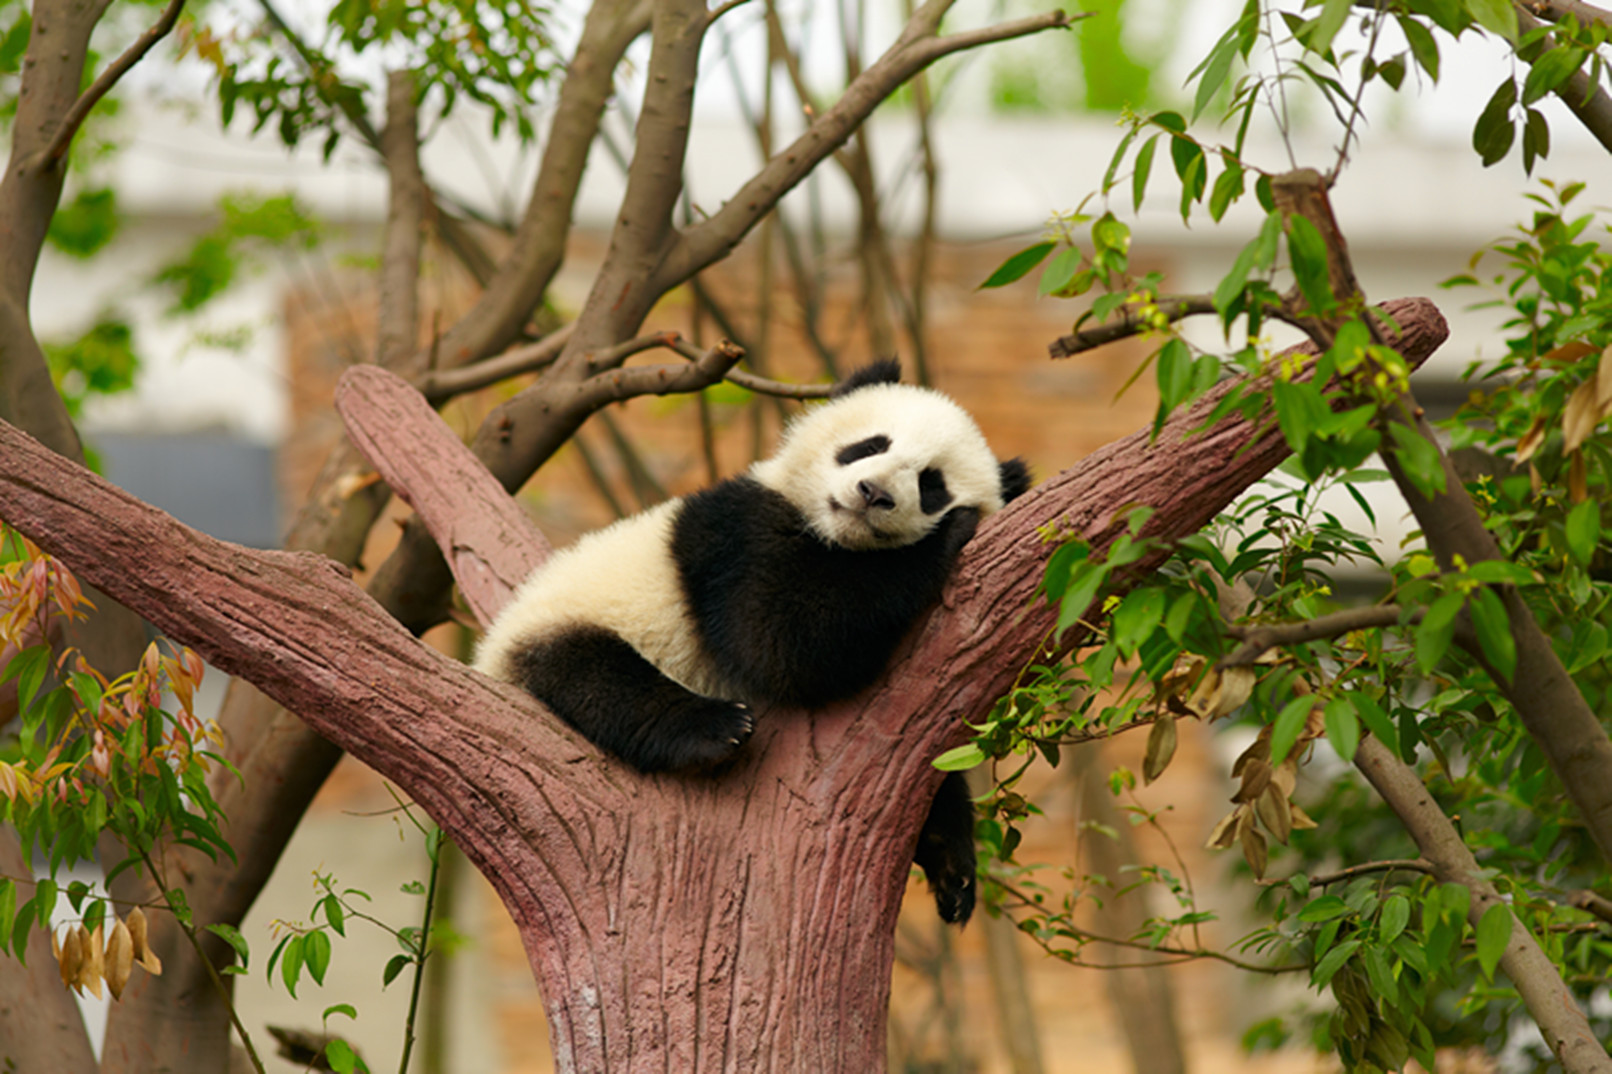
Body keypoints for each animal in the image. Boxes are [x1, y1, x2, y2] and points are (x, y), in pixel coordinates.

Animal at [474, 360, 1031, 923]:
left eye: (931, 484)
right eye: (870, 445)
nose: (873, 492)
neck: (835, 536)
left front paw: (952, 864)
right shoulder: (737, 532)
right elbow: (779, 640)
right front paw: (948, 535)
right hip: (563, 622)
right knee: (597, 677)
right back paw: (713, 728)